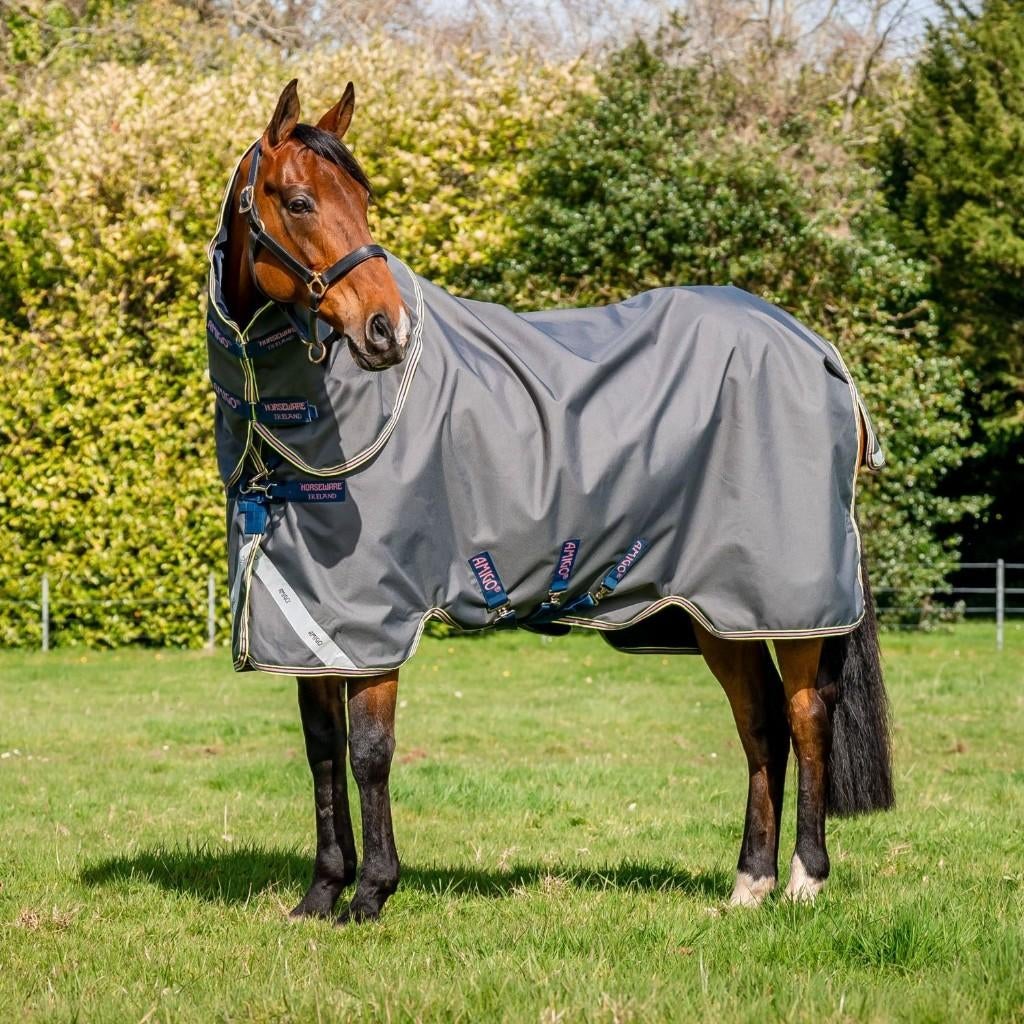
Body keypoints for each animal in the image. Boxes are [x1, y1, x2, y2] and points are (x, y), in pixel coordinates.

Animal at [208, 79, 893, 924]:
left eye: (365, 200)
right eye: (301, 201)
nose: (385, 331)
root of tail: (819, 350)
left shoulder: (373, 620)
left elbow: (369, 754)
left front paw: (370, 895)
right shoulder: (314, 624)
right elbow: (322, 755)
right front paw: (320, 896)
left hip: (790, 602)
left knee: (804, 717)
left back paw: (803, 878)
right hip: (721, 610)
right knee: (760, 725)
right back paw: (749, 884)